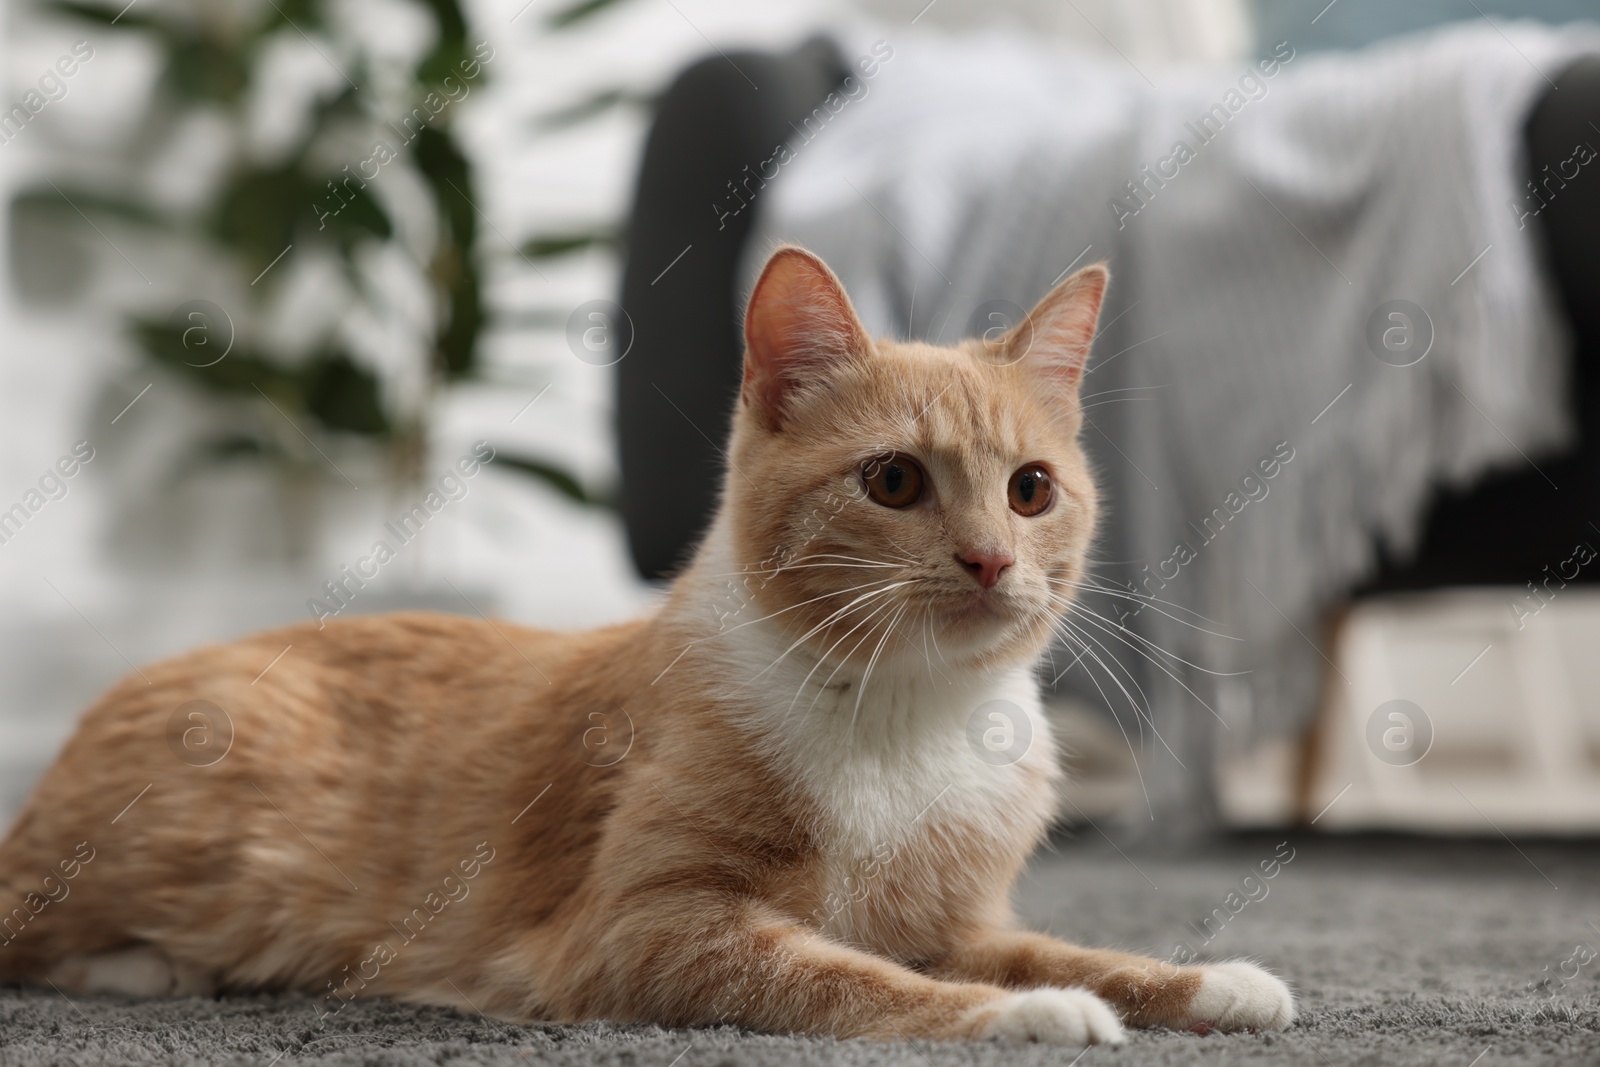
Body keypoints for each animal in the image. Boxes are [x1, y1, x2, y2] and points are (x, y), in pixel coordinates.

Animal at [0, 247, 1292, 1043]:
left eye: (1031, 489)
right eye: (893, 480)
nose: (987, 559)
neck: (903, 718)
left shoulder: (965, 919)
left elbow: (1067, 947)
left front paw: (1202, 978)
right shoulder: (643, 929)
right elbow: (845, 974)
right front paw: (1013, 1016)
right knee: (27, 923)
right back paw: (152, 965)